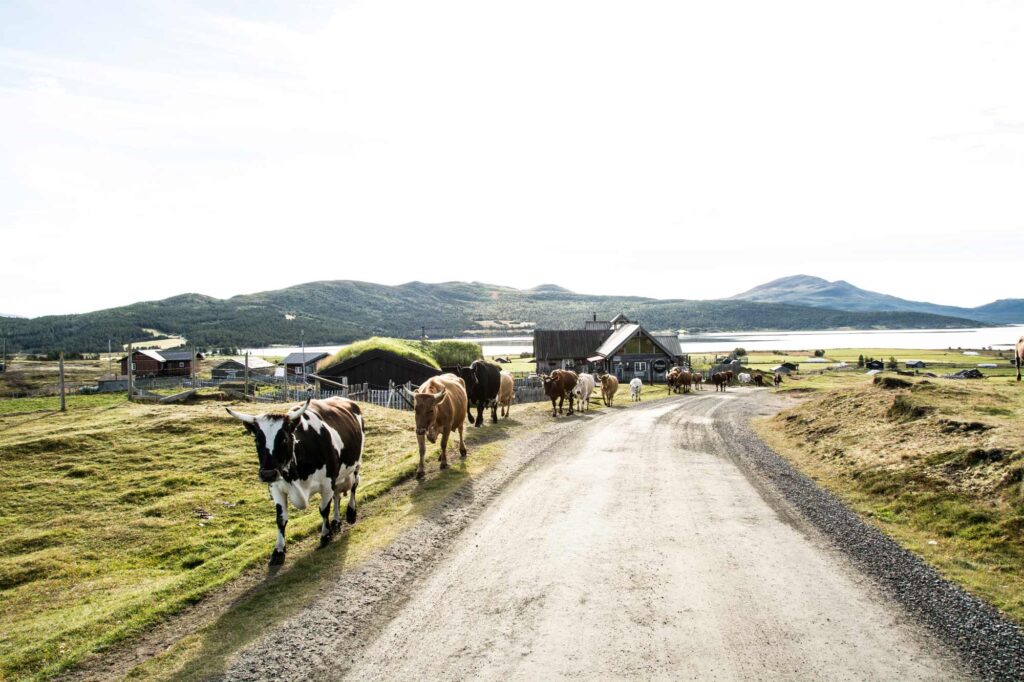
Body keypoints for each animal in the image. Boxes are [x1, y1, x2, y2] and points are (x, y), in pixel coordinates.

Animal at [227, 395, 364, 561]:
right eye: (257, 440)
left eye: (284, 439)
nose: (268, 474)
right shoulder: (276, 488)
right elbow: (281, 519)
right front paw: (279, 550)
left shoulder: (327, 483)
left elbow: (323, 509)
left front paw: (325, 536)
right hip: (337, 476)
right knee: (337, 495)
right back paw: (336, 521)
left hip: (356, 465)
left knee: (354, 487)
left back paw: (351, 513)